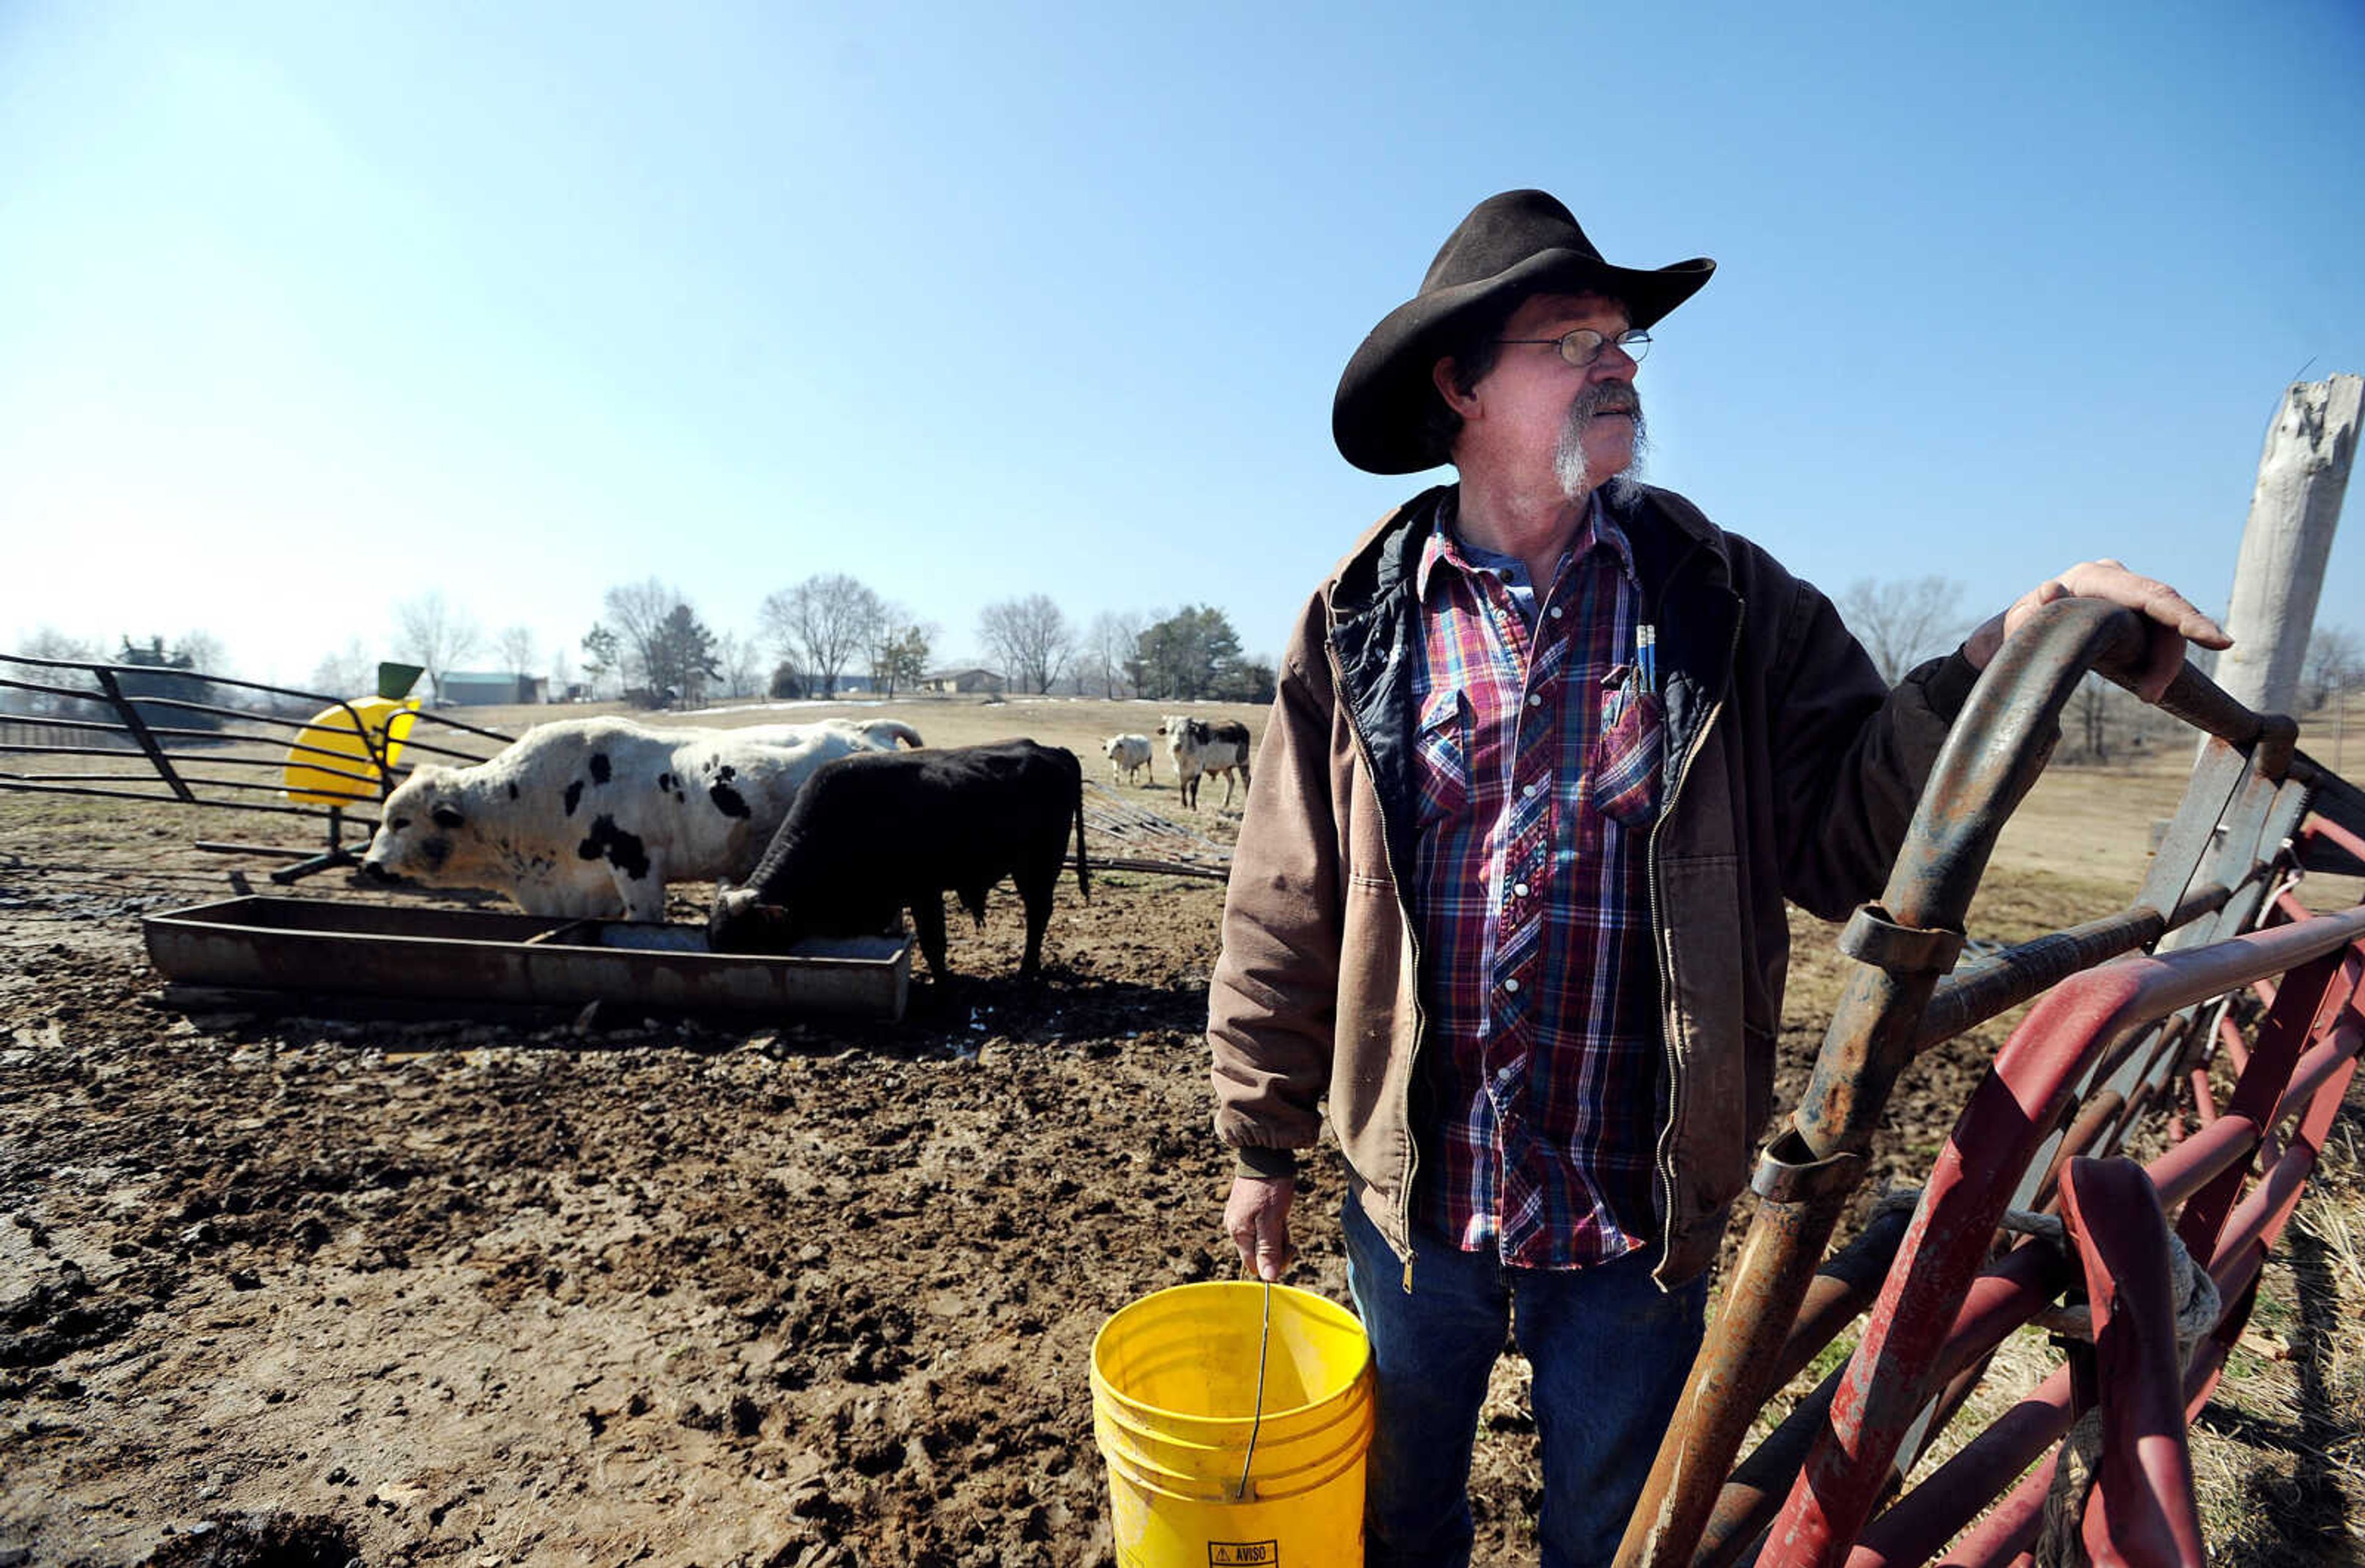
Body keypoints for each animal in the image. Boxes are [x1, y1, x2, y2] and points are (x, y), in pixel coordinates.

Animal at [710, 742, 1088, 988]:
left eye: (747, 945)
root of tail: (1050, 750)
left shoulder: (924, 892)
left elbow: (934, 943)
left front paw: (944, 984)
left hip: (1038, 866)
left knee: (1038, 914)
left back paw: (1026, 971)